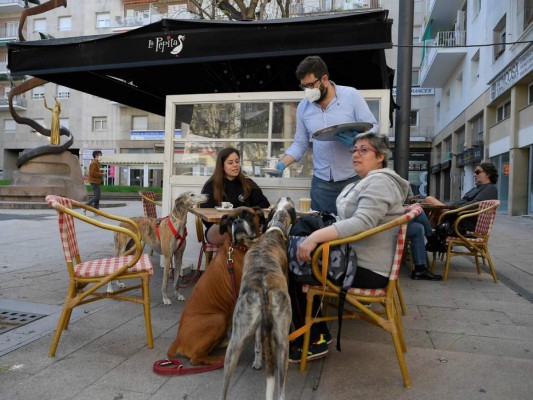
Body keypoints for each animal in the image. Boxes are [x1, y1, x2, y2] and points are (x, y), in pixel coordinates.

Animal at [166, 206, 266, 366]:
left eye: (247, 214)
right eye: (230, 220)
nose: (237, 222)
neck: (243, 247)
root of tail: (178, 340)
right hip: (217, 319)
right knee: (196, 358)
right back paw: (222, 359)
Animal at [219, 197, 296, 400]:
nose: (286, 197)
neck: (274, 230)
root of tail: (264, 289)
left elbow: (258, 341)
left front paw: (257, 360)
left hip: (236, 341)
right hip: (282, 340)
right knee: (281, 390)